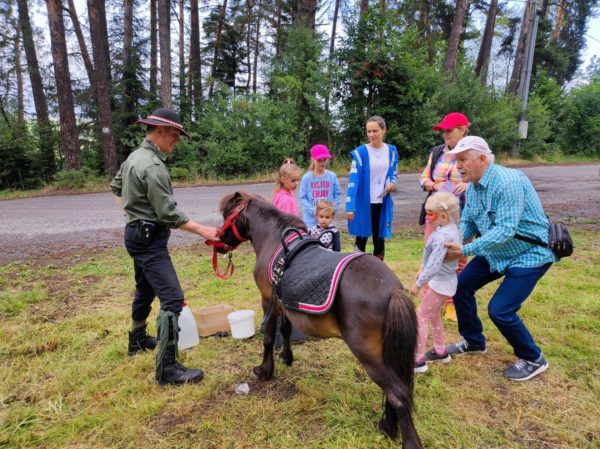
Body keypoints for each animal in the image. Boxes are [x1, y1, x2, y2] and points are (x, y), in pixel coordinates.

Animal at [217, 192, 422, 448]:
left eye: (227, 214)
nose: (218, 241)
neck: (274, 240)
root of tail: (393, 290)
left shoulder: (268, 301)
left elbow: (268, 338)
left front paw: (264, 370)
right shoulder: (285, 303)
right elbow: (285, 331)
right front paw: (287, 357)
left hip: (369, 355)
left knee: (399, 394)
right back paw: (386, 426)